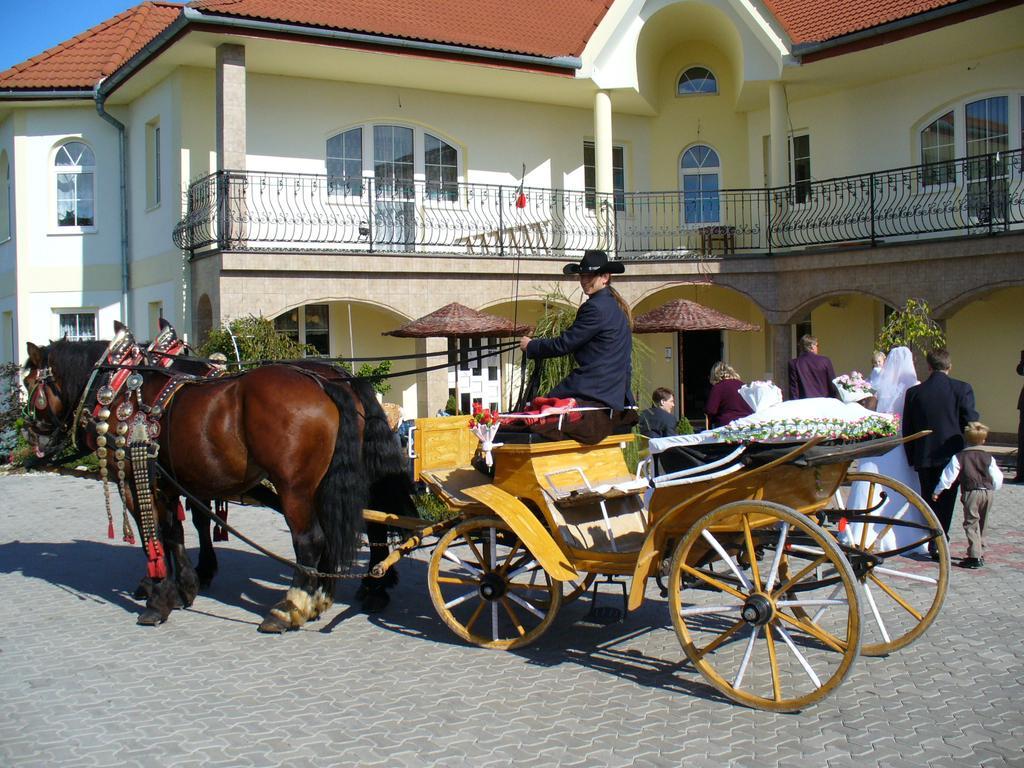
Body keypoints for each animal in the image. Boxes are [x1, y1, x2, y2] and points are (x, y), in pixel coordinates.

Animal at [20, 331, 411, 630]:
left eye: (28, 384)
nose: (33, 436)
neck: (118, 391)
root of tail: (327, 382)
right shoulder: (174, 482)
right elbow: (177, 532)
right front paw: (185, 586)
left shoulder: (135, 480)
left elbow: (153, 536)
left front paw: (158, 597)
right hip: (330, 480)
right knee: (355, 524)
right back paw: (338, 590)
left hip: (295, 486)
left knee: (312, 539)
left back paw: (292, 606)